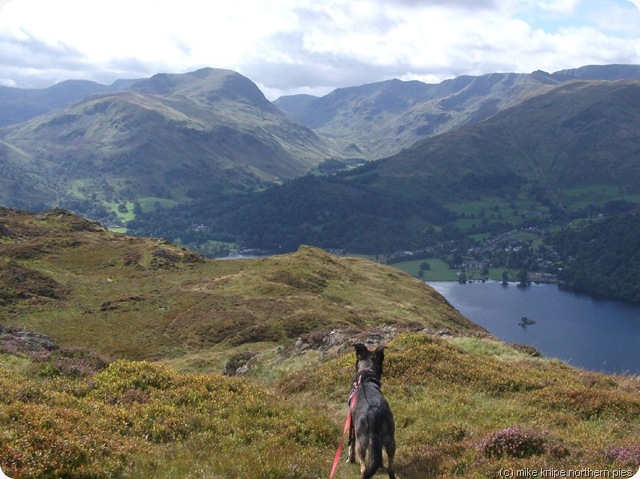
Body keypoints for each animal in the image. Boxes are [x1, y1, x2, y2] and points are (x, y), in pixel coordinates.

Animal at [348, 344, 392, 479]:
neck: (366, 373)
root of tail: (373, 415)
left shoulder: (351, 423)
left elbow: (351, 443)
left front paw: (349, 459)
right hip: (390, 439)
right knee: (390, 467)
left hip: (362, 442)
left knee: (363, 467)